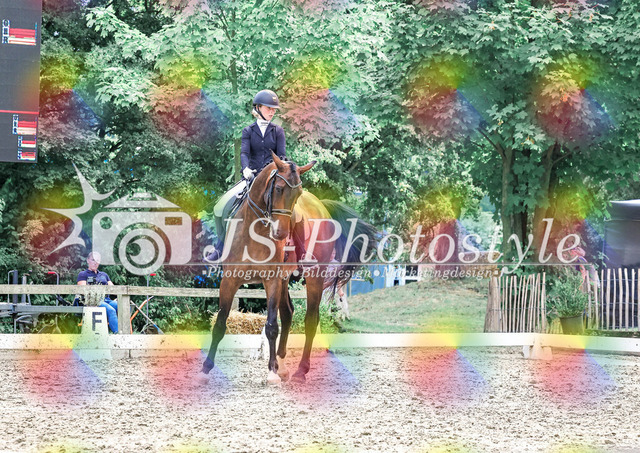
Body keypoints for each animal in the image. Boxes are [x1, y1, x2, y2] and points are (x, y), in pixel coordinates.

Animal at [200, 152, 377, 384]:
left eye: (298, 193)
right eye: (277, 189)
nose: (281, 234)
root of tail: (321, 205)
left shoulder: (272, 280)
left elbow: (271, 326)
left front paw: (271, 373)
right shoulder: (230, 279)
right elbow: (221, 323)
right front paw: (206, 368)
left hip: (313, 278)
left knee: (310, 320)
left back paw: (300, 370)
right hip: (285, 280)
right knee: (288, 314)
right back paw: (282, 367)